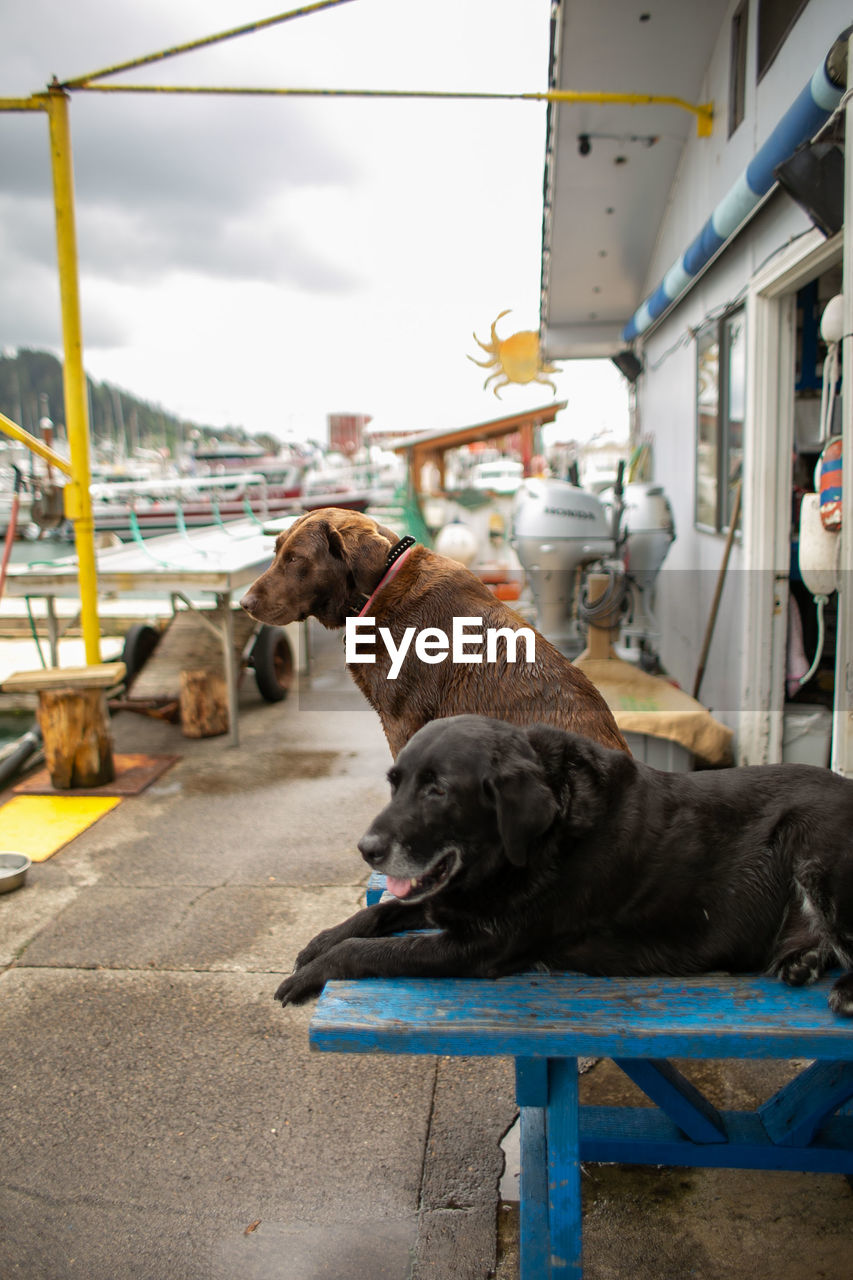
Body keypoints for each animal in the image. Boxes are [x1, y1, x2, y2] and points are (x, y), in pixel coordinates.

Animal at [275, 716, 850, 1013]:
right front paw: (320, 940)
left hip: (814, 846)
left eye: (438, 790)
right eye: (395, 783)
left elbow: (369, 950)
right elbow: (378, 913)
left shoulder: (480, 946)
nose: (365, 848)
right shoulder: (455, 902)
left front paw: (316, 970)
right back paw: (803, 960)